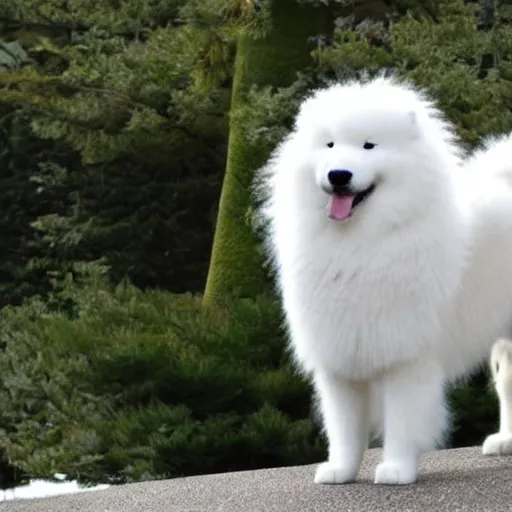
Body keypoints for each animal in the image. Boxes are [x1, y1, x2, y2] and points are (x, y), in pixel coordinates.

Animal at [256, 75, 512, 484]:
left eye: (369, 145)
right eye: (329, 145)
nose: (339, 175)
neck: (362, 240)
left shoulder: (406, 357)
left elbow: (403, 422)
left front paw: (396, 470)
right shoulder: (339, 356)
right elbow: (344, 427)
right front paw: (340, 471)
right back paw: (504, 441)